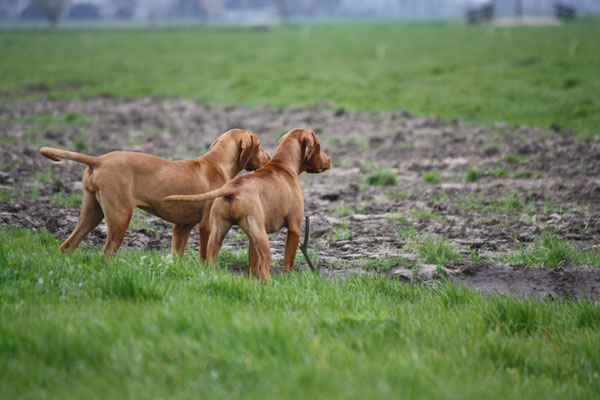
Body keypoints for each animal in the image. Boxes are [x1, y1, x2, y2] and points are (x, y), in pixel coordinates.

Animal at [39, 130, 270, 258]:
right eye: (259, 145)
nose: (268, 159)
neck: (216, 163)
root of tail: (99, 160)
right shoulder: (207, 225)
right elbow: (204, 255)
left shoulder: (182, 226)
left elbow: (177, 255)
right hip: (120, 216)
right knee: (106, 253)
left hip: (91, 214)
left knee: (67, 246)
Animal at [164, 130, 330, 280]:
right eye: (319, 145)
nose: (330, 160)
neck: (282, 164)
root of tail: (233, 188)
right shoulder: (294, 229)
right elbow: (288, 263)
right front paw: (288, 280)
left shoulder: (251, 237)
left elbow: (253, 266)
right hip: (262, 238)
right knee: (265, 270)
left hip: (217, 234)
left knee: (210, 260)